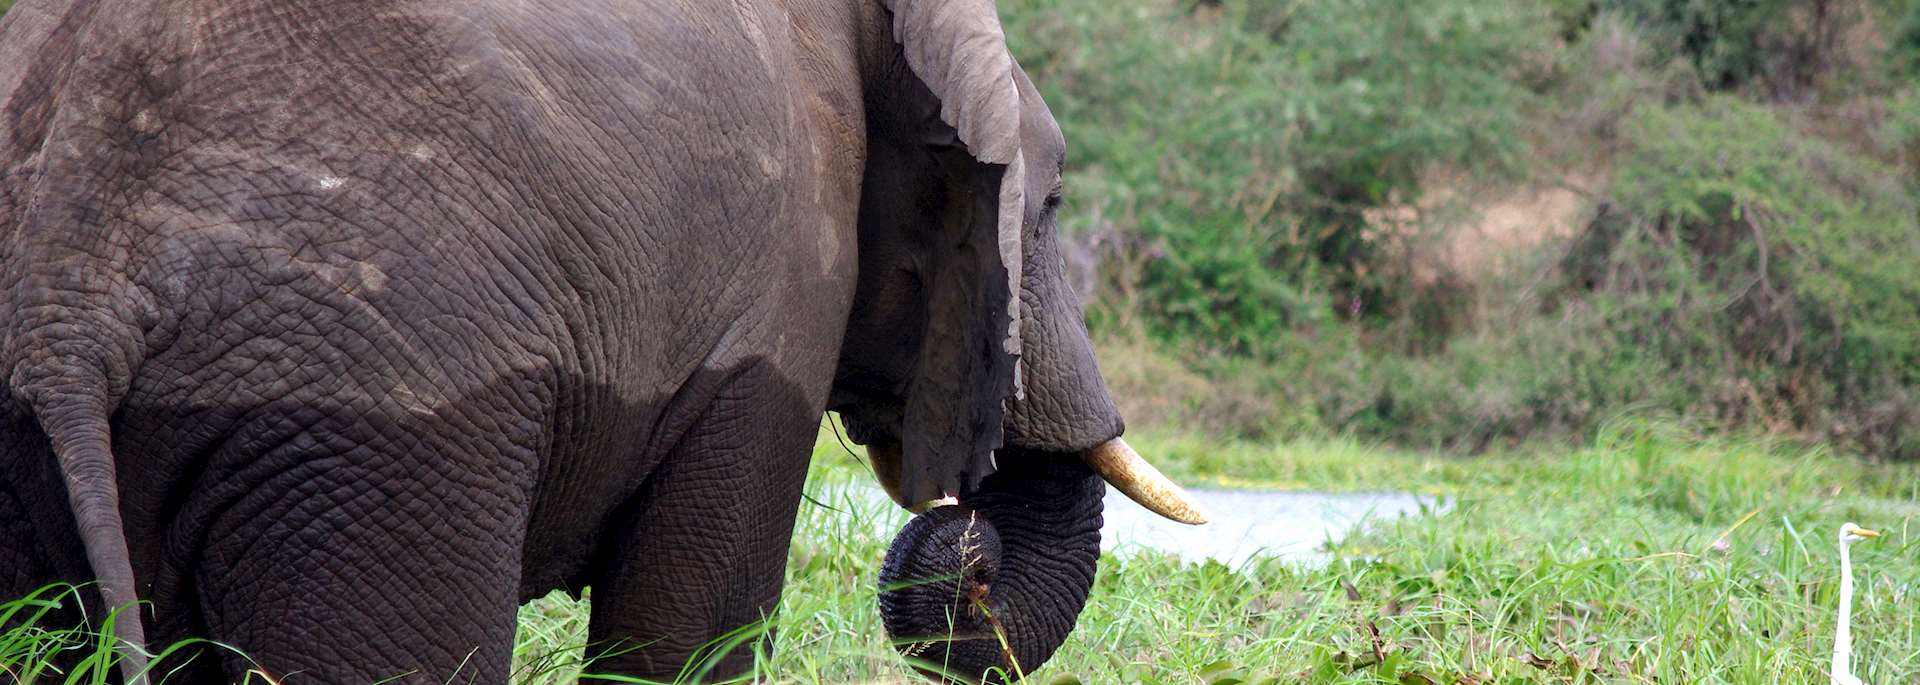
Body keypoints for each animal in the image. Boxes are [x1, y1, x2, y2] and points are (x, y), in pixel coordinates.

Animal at [0, 0, 1204, 683]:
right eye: (1052, 205)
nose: (970, 554)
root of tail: (73, 298)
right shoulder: (781, 286)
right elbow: (695, 625)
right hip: (376, 416)